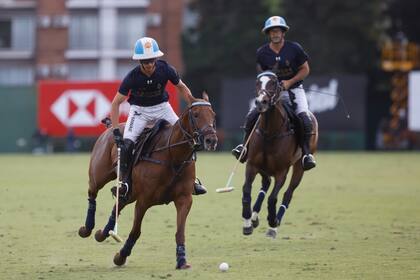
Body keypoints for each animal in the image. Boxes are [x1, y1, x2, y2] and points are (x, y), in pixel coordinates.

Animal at [78, 93, 220, 270]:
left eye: (213, 115)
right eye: (195, 115)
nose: (211, 140)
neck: (173, 156)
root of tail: (111, 127)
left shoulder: (184, 199)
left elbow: (180, 231)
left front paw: (181, 260)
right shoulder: (144, 200)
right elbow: (136, 231)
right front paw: (121, 256)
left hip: (130, 191)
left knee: (118, 203)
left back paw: (102, 233)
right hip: (99, 174)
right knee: (93, 192)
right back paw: (87, 228)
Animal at [240, 72, 318, 238]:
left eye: (274, 83)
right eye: (258, 82)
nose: (261, 102)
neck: (269, 132)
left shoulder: (282, 171)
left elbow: (273, 198)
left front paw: (272, 222)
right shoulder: (252, 165)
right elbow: (246, 191)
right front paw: (247, 223)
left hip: (299, 167)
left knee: (287, 194)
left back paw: (274, 225)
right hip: (263, 167)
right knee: (266, 183)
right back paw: (255, 217)